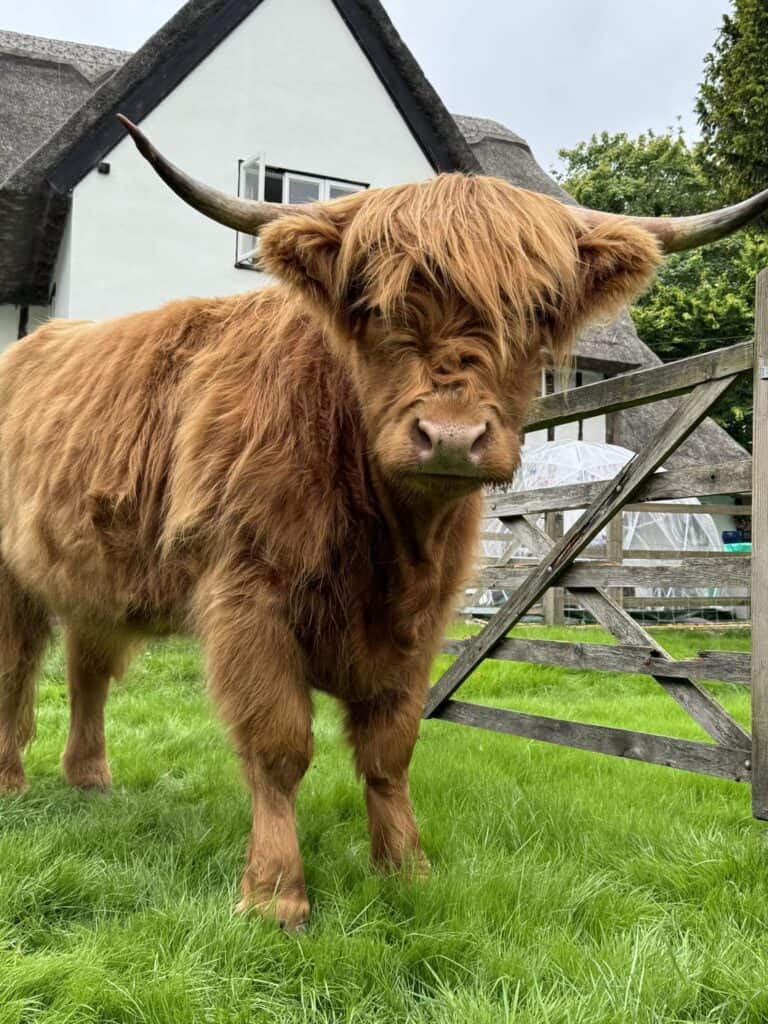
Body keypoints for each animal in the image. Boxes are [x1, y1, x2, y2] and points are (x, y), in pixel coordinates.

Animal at [0, 115, 765, 930]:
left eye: (535, 313)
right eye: (376, 307)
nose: (452, 436)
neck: (382, 535)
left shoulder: (419, 618)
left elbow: (391, 748)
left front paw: (406, 870)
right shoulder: (248, 593)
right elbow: (279, 745)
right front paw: (275, 896)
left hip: (93, 575)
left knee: (88, 665)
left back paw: (90, 778)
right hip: (13, 576)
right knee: (19, 667)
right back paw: (14, 781)